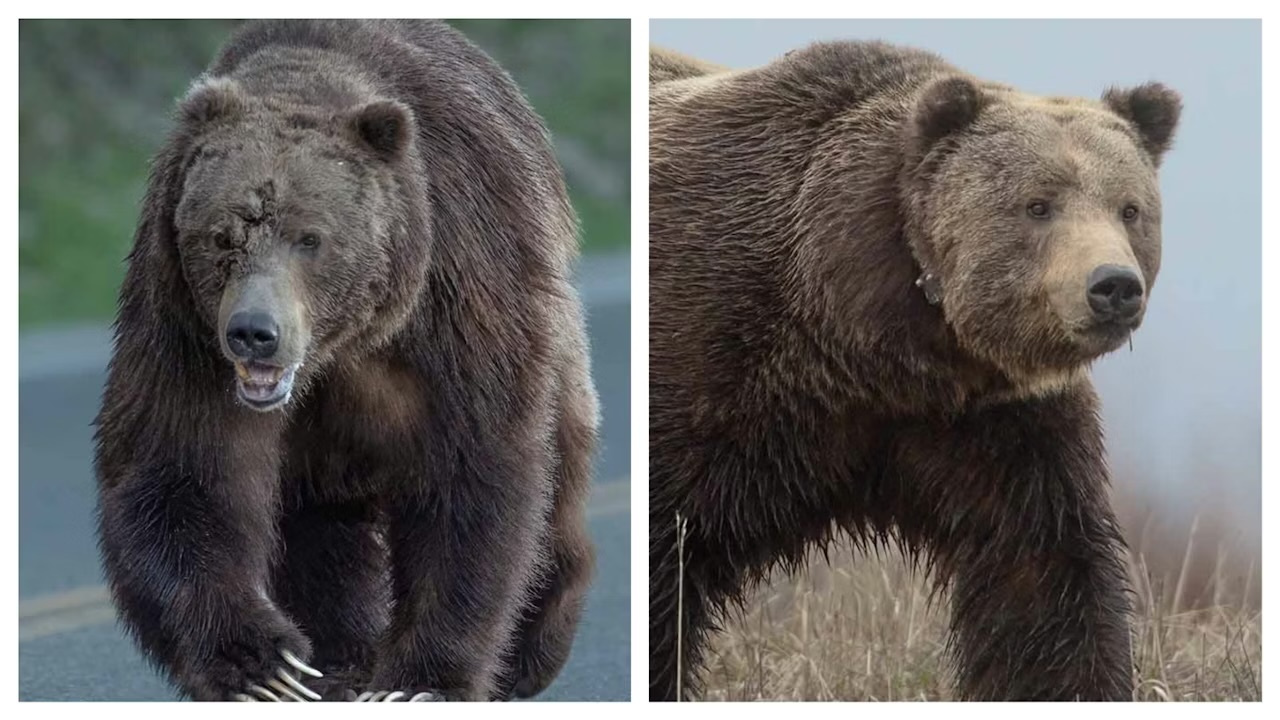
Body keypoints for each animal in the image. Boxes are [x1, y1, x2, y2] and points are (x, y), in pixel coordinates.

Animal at [93, 19, 599, 702]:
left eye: (310, 238)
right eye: (223, 235)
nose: (254, 333)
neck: (346, 343)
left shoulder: (460, 287)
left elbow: (473, 472)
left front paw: (421, 680)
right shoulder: (180, 319)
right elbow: (178, 467)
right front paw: (267, 668)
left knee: (557, 476)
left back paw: (529, 650)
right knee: (319, 530)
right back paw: (341, 661)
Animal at [648, 41, 1180, 701]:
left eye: (1130, 209)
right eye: (1038, 204)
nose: (1112, 286)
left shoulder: (989, 423)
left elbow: (1043, 572)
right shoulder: (715, 364)